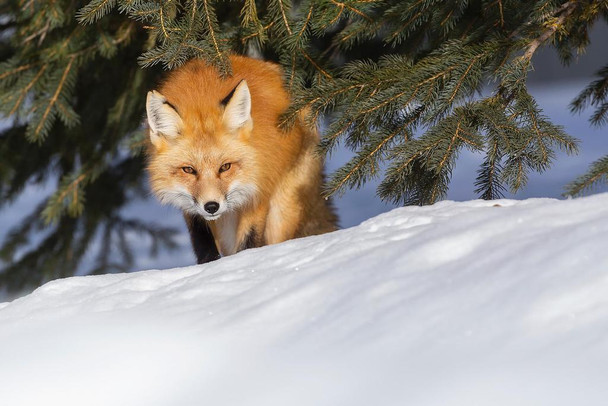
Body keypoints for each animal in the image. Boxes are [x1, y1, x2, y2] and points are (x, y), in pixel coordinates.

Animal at [145, 54, 340, 264]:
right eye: (188, 170)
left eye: (225, 167)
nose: (211, 206)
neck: (201, 98)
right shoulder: (189, 207)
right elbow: (203, 245)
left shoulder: (258, 191)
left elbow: (249, 243)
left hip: (281, 213)